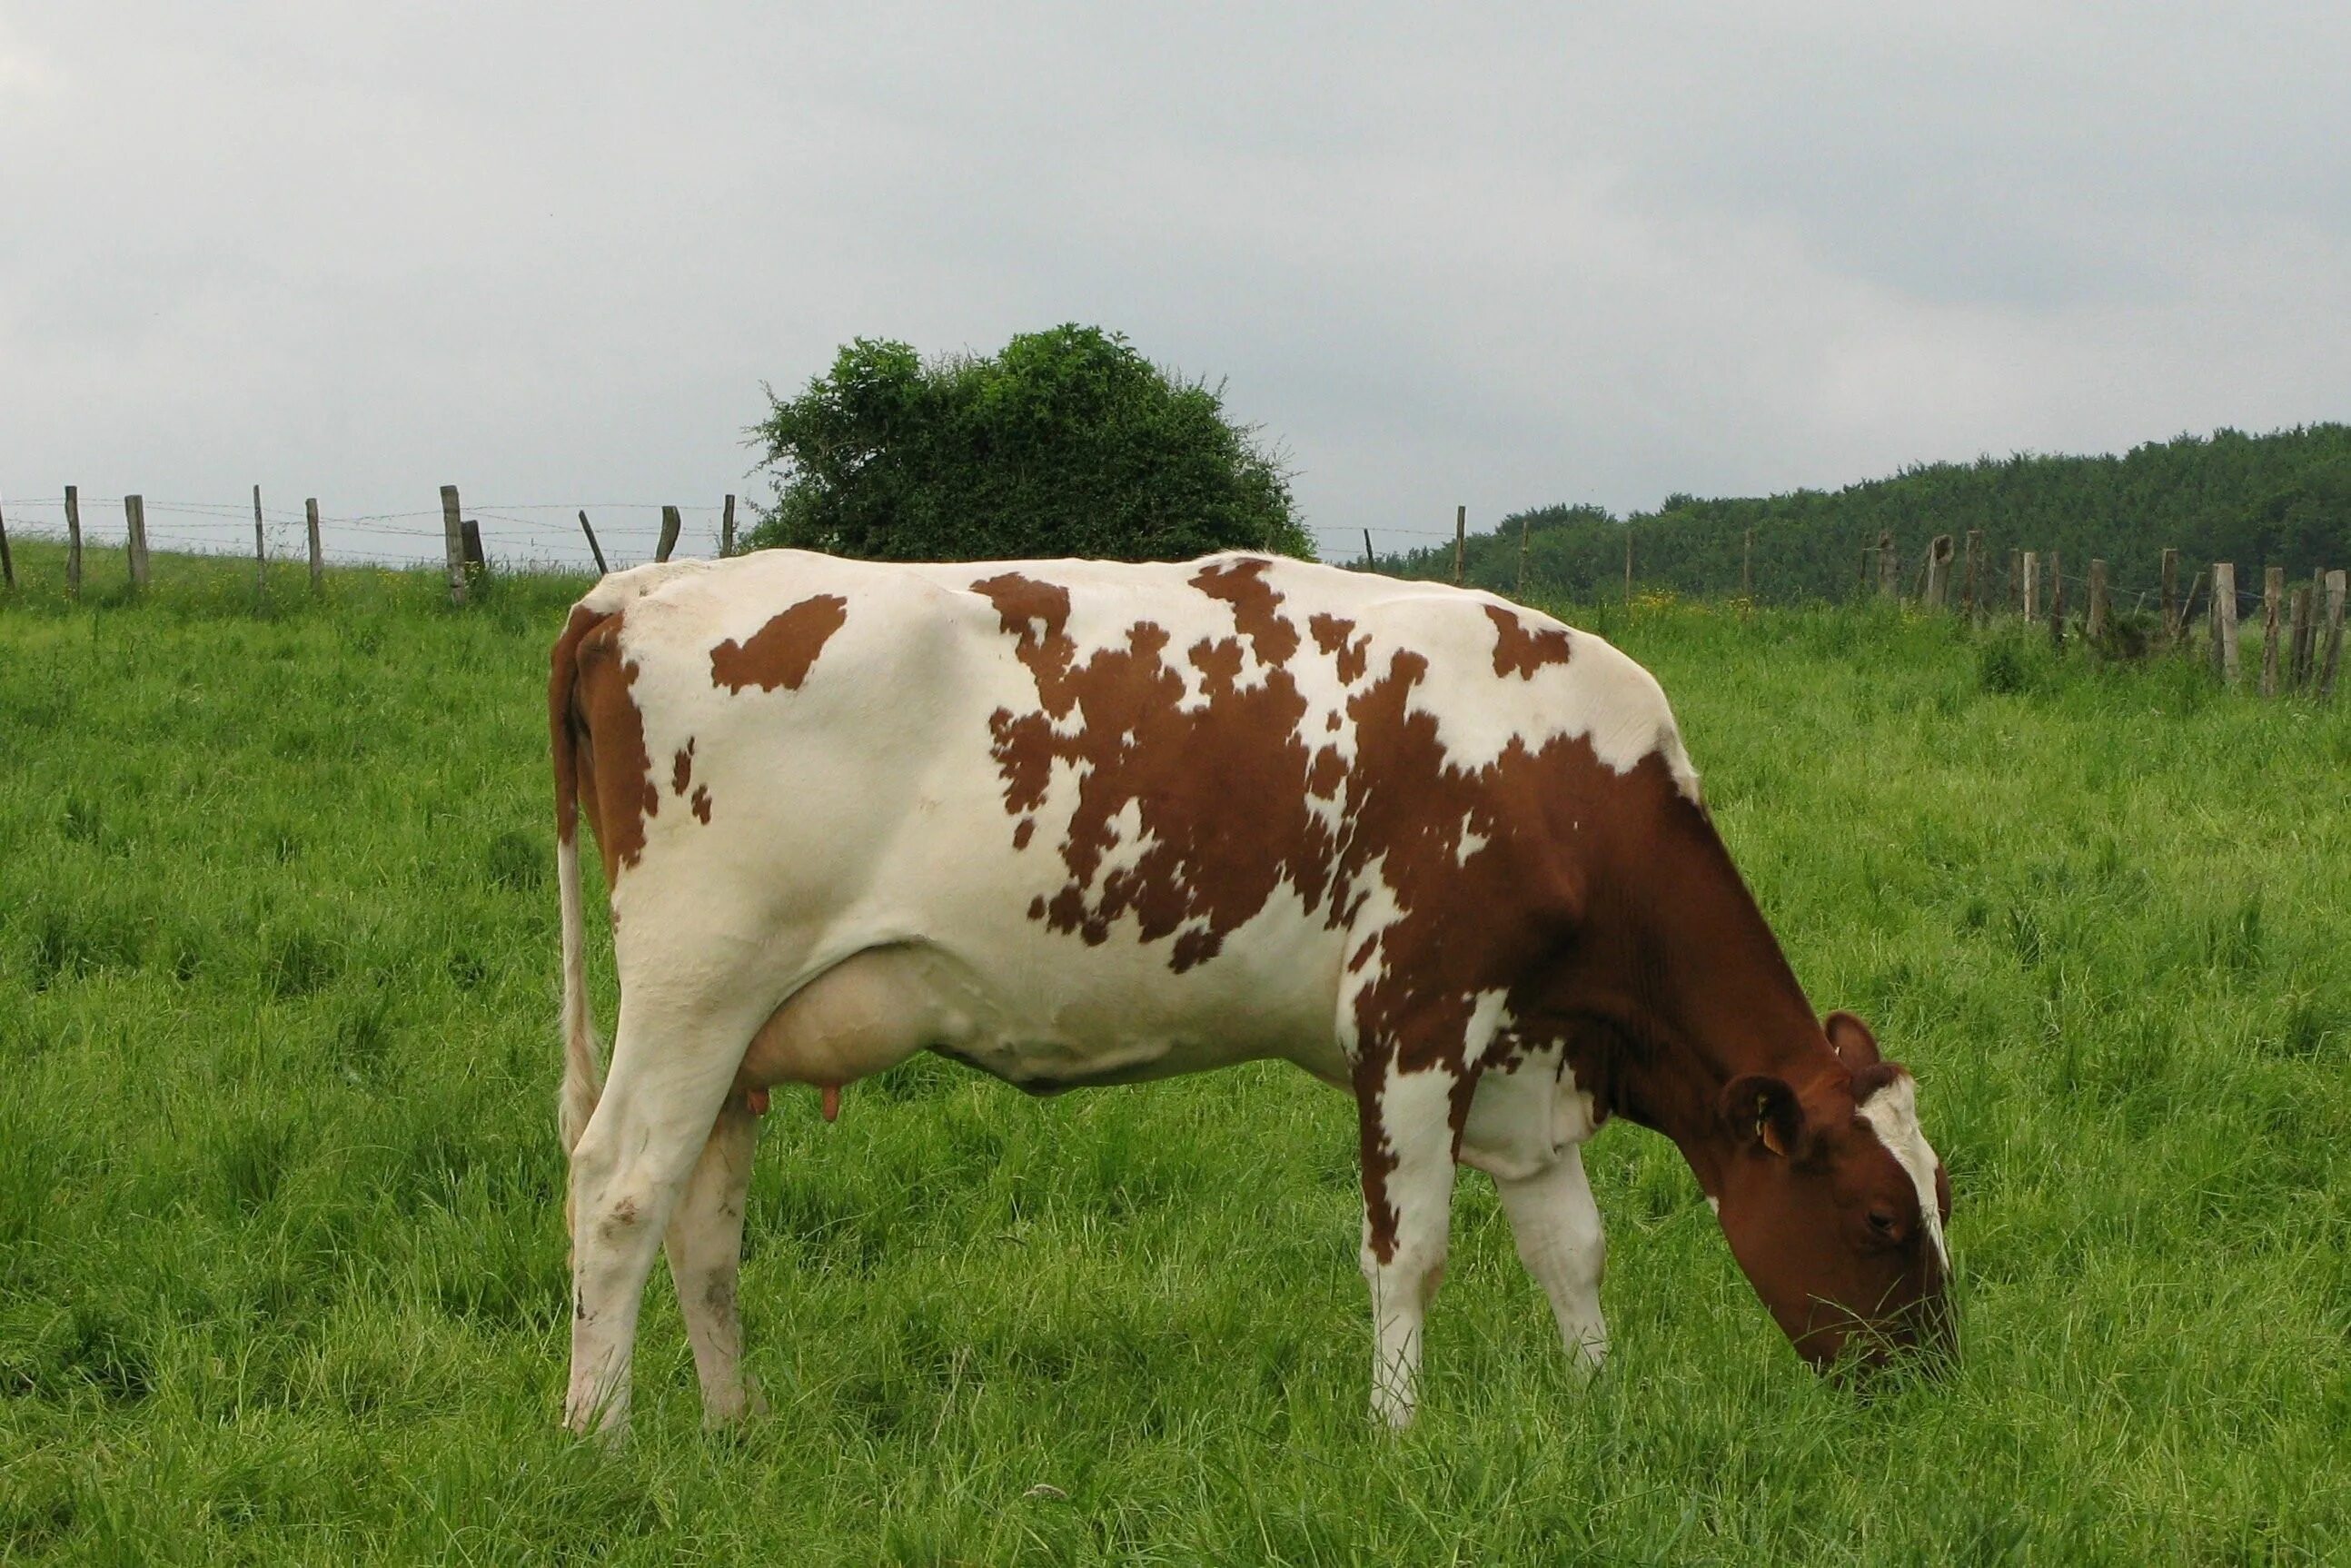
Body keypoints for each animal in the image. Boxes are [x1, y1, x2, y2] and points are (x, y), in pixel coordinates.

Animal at [545, 550, 1946, 1438]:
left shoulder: (1525, 1050)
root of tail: (641, 586)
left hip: (745, 1032)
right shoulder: (1415, 1016)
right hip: (697, 980)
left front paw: (1597, 1411)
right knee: (618, 1188)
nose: (1932, 1387)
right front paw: (1396, 1437)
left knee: (705, 1215)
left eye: (1942, 1193)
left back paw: (734, 1426)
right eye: (1878, 1219)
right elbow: (1410, 1251)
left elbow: (1571, 1247)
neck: (1567, 784)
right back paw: (599, 1441)